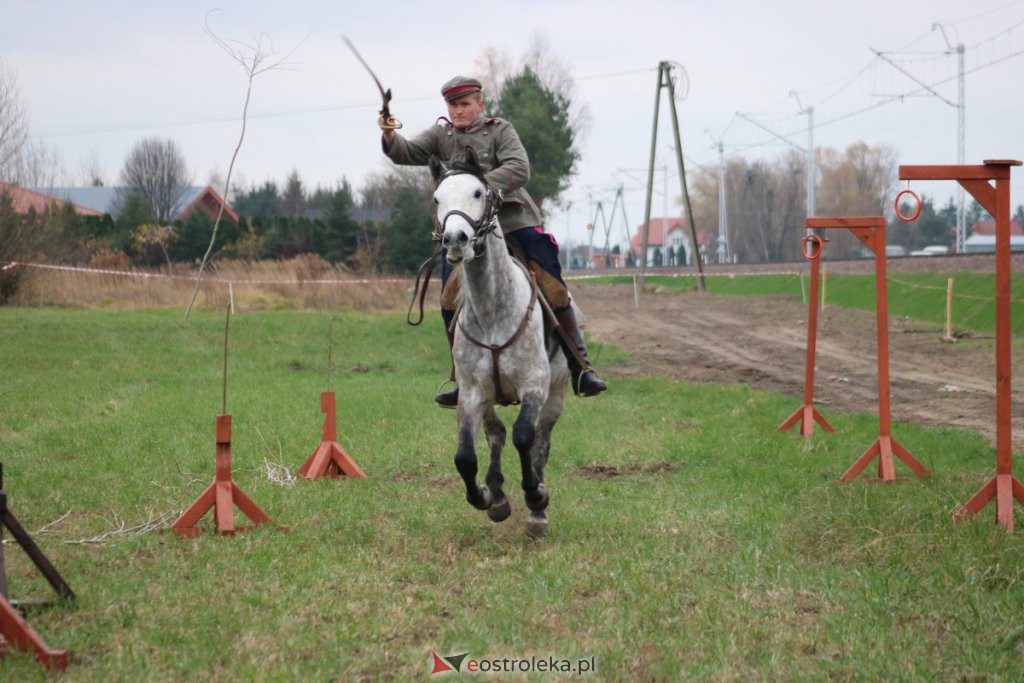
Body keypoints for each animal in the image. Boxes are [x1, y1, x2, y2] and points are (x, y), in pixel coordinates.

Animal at [428, 150, 569, 540]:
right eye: (437, 198)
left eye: (478, 192)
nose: (455, 240)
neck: (493, 308)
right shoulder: (472, 393)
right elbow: (465, 456)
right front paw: (486, 497)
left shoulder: (535, 385)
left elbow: (525, 437)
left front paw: (536, 496)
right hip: (489, 398)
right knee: (495, 435)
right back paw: (498, 493)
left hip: (557, 393)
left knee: (540, 441)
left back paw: (537, 510)